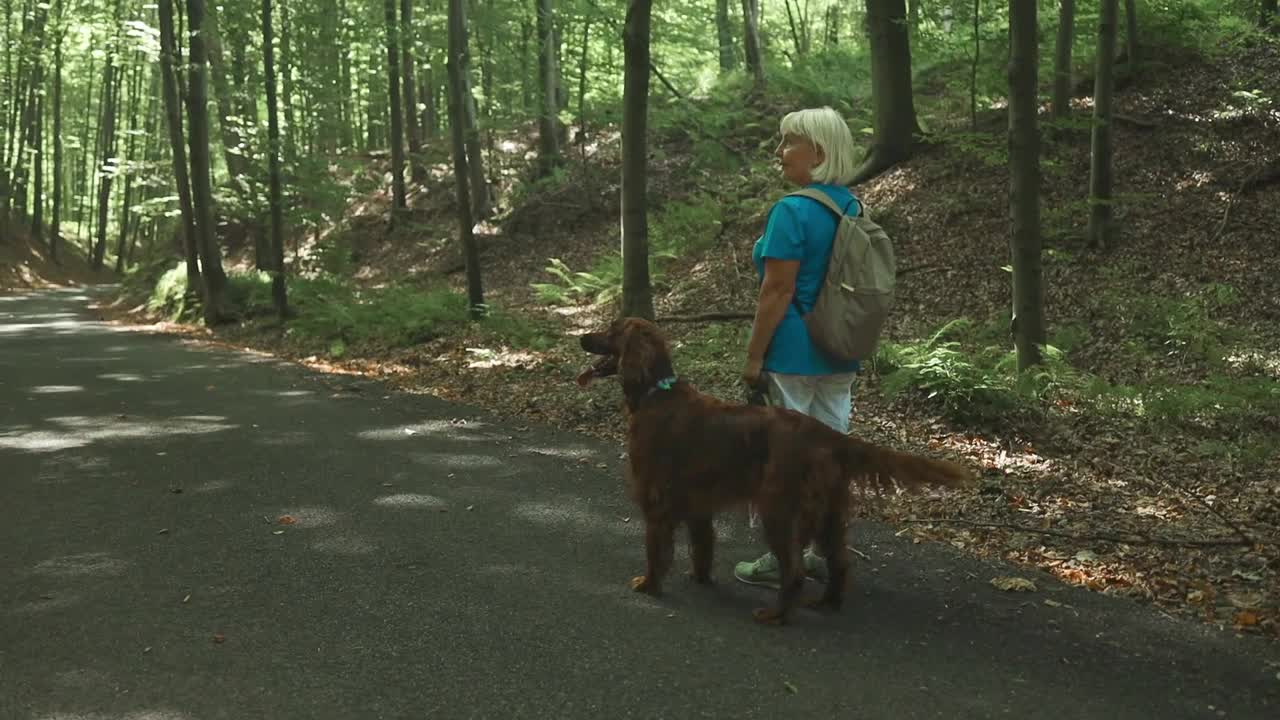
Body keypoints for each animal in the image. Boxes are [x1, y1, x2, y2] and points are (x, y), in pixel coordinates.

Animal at [578, 315, 967, 622]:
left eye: (612, 329)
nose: (581, 337)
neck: (656, 393)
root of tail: (824, 434)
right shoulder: (699, 501)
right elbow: (703, 545)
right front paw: (700, 578)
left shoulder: (656, 499)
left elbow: (655, 550)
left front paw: (648, 584)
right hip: (828, 512)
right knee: (839, 563)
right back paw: (826, 604)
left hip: (778, 509)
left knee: (794, 572)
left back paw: (776, 615)